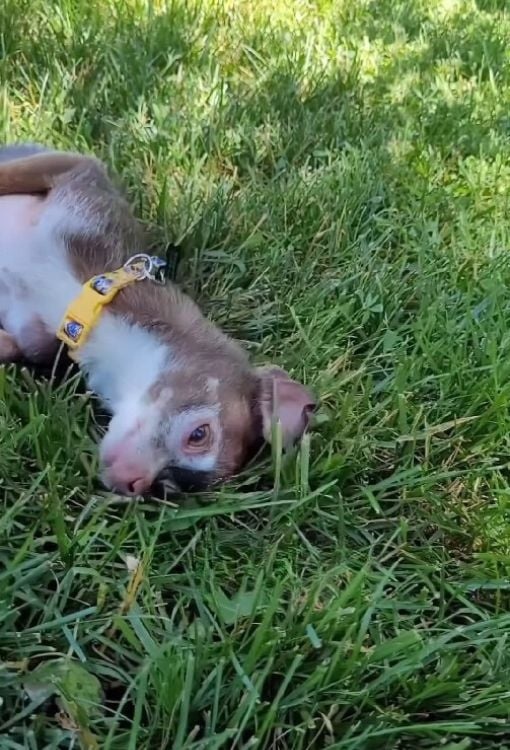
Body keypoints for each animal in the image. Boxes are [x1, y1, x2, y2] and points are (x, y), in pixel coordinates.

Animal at [0, 145, 314, 500]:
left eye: (166, 488)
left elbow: (12, 347)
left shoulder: (33, 337)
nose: (133, 484)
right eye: (199, 435)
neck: (87, 302)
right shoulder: (74, 171)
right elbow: (10, 175)